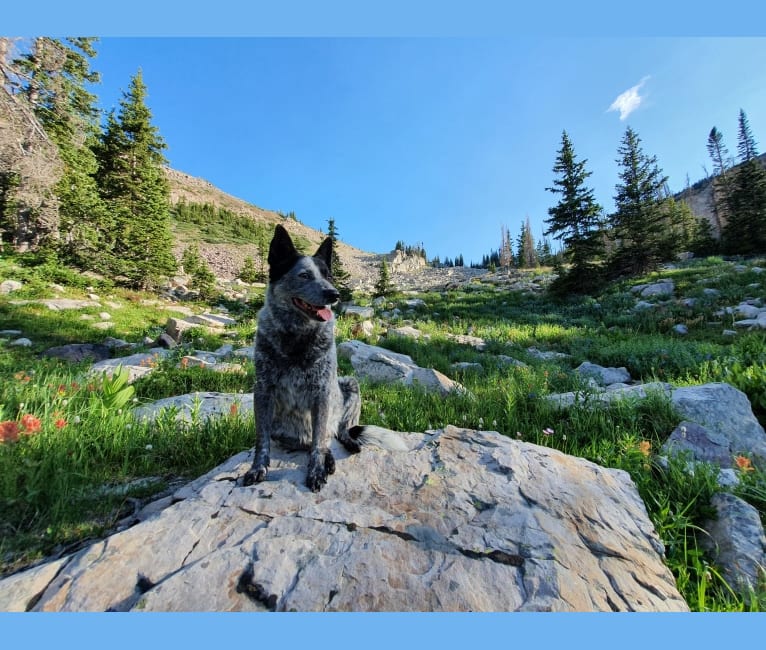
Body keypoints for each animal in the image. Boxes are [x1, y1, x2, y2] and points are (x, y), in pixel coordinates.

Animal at [244, 224, 408, 492]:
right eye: (304, 275)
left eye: (328, 276)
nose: (335, 294)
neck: (297, 335)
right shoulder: (263, 389)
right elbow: (262, 440)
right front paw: (258, 468)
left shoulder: (321, 390)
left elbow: (319, 443)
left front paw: (317, 470)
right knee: (315, 441)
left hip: (349, 385)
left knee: (337, 432)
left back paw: (343, 447)